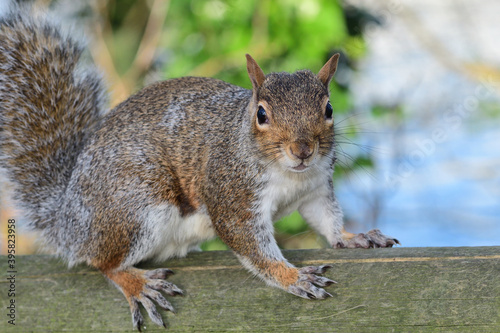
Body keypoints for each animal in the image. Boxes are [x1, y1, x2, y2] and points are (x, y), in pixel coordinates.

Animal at [0, 7, 398, 330]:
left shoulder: (314, 188)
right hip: (137, 207)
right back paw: (138, 284)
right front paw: (293, 277)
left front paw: (353, 237)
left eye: (328, 109)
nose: (302, 150)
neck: (290, 175)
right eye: (262, 114)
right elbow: (251, 245)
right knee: (103, 263)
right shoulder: (232, 195)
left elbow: (326, 219)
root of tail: (67, 219)